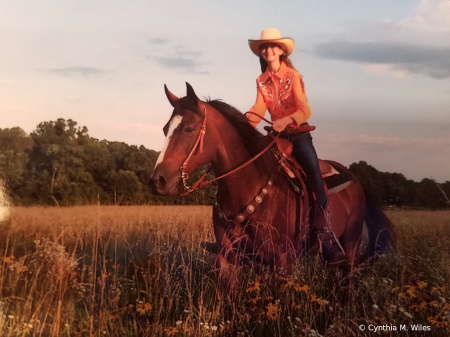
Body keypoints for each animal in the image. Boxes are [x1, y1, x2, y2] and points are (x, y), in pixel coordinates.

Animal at [149, 82, 392, 276]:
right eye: (164, 129)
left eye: (189, 129)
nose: (157, 180)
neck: (248, 189)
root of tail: (357, 181)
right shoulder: (227, 260)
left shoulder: (282, 262)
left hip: (351, 244)